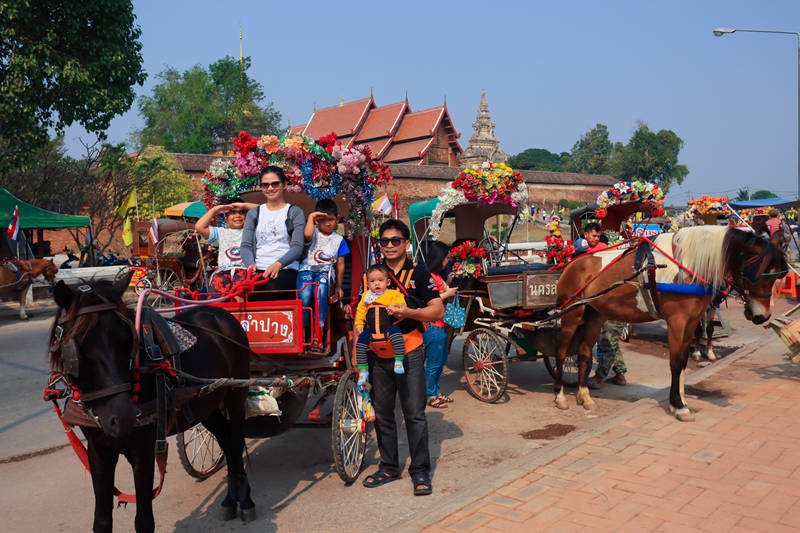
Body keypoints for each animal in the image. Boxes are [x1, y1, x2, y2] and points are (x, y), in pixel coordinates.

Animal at [48, 272, 255, 528]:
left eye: (128, 340)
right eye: (78, 347)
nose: (123, 417)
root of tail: (221, 314)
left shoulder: (144, 450)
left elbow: (144, 520)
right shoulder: (98, 451)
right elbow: (102, 520)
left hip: (235, 394)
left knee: (235, 441)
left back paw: (245, 500)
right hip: (207, 405)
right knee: (225, 439)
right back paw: (230, 498)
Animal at [552, 224, 784, 420]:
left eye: (776, 277)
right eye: (756, 273)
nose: (762, 316)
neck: (687, 264)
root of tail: (573, 263)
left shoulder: (691, 322)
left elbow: (683, 361)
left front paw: (679, 401)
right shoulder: (677, 322)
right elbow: (675, 362)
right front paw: (679, 405)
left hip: (595, 315)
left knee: (583, 352)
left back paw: (584, 395)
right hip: (571, 314)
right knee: (561, 352)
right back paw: (560, 395)